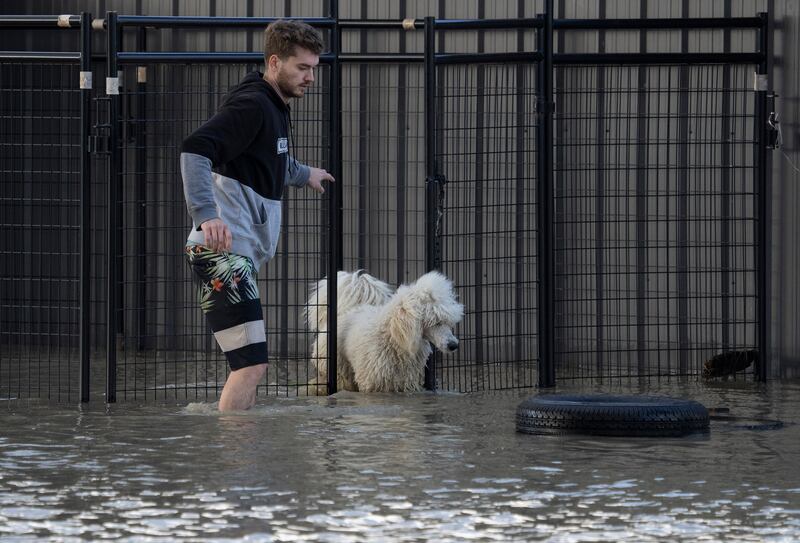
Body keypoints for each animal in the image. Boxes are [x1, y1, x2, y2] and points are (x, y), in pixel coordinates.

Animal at [310, 270, 466, 394]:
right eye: (436, 322)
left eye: (448, 322)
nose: (454, 345)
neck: (394, 339)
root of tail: (347, 310)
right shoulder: (374, 382)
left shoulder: (405, 383)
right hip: (339, 369)